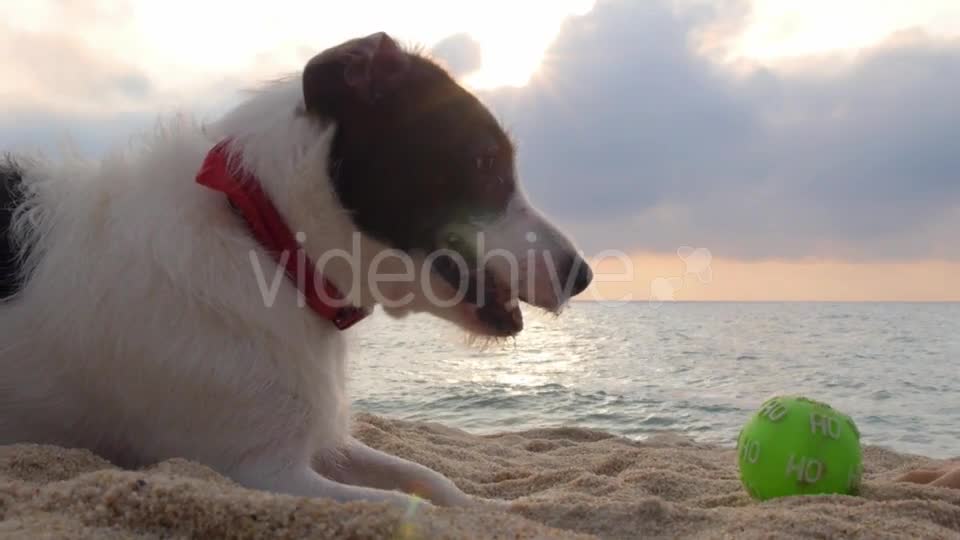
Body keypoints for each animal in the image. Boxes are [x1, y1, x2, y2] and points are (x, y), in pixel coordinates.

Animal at [0, 32, 592, 506]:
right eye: (484, 160)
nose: (582, 276)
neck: (267, 237)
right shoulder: (257, 470)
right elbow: (415, 508)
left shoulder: (321, 440)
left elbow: (433, 481)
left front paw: (495, 508)